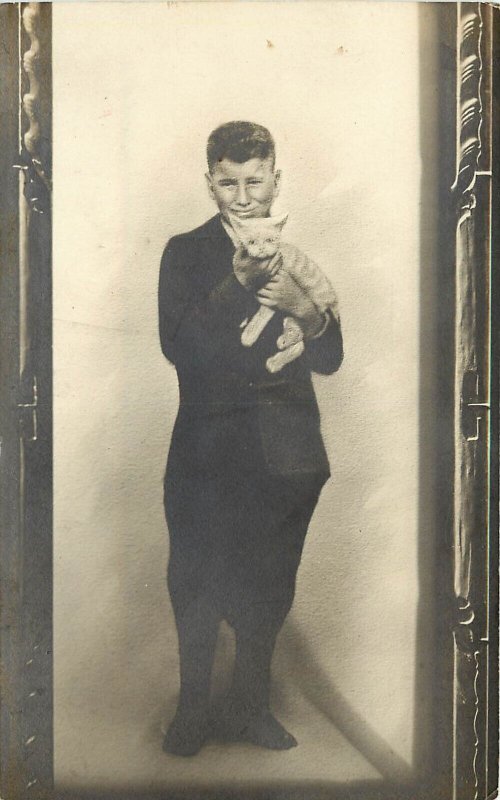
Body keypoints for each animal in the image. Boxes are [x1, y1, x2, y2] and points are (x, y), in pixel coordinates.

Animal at [230, 212, 340, 376]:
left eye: (269, 240)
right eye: (252, 242)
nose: (261, 248)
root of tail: (333, 302)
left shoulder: (272, 294)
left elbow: (260, 316)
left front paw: (248, 335)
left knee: (300, 344)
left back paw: (278, 355)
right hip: (292, 319)